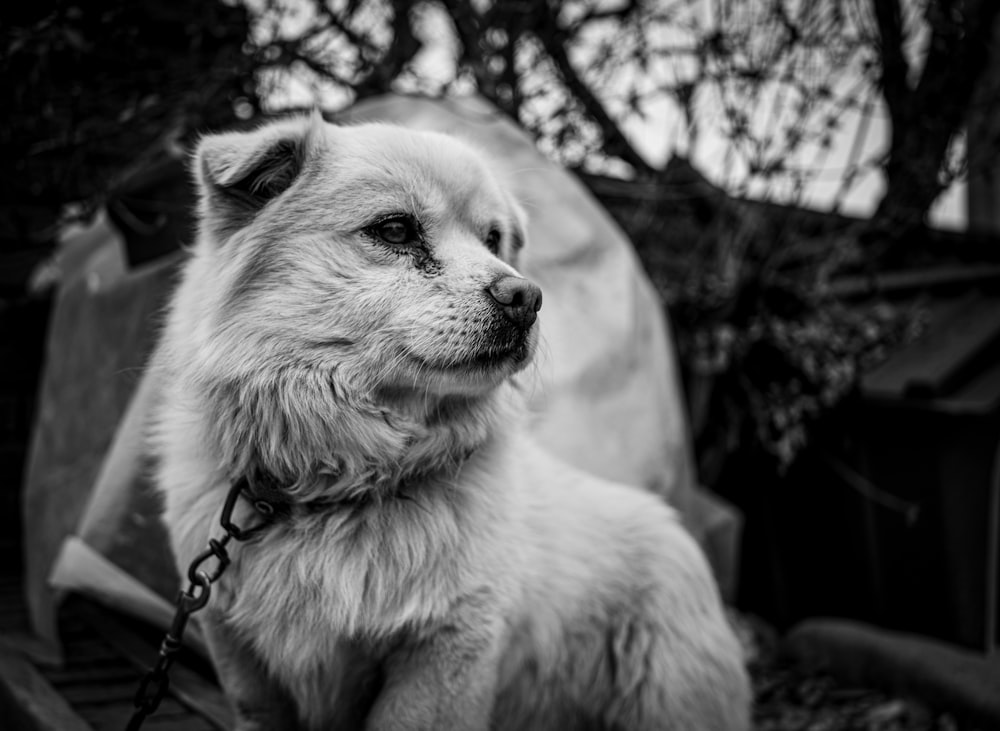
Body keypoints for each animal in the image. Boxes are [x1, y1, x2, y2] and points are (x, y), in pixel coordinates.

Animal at [150, 110, 752, 731]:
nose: (527, 296)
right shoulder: (241, 661)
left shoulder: (443, 654)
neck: (339, 489)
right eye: (395, 231)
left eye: (494, 240)